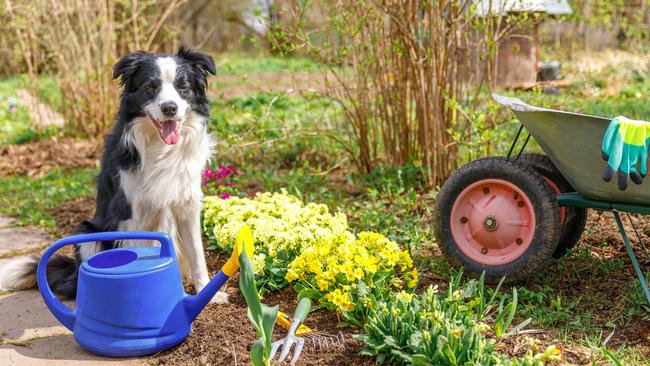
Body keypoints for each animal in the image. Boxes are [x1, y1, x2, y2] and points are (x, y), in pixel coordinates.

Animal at [0, 47, 228, 304]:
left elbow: (197, 254)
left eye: (183, 87)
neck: (161, 149)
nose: (170, 108)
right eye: (150, 87)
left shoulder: (186, 205)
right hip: (88, 232)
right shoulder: (132, 216)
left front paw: (208, 292)